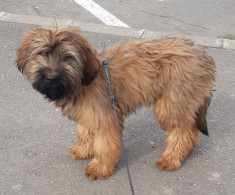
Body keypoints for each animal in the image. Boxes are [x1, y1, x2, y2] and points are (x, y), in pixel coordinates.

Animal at [16, 25, 215, 180]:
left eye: (67, 57)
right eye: (41, 53)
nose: (51, 77)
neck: (80, 81)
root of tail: (204, 56)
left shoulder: (106, 117)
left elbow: (104, 144)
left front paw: (99, 167)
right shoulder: (87, 114)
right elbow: (84, 132)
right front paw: (83, 150)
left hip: (171, 103)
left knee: (182, 133)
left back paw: (170, 158)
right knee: (191, 131)